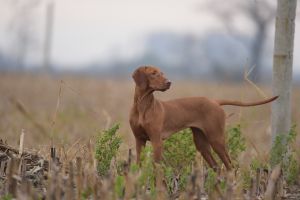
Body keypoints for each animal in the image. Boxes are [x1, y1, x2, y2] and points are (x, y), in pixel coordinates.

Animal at [129, 65, 278, 170]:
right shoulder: (139, 140)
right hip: (202, 144)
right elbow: (139, 165)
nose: (169, 82)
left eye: (162, 73)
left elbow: (157, 168)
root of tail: (214, 101)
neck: (143, 107)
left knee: (230, 166)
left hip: (216, 139)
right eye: (153, 73)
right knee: (217, 168)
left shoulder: (157, 141)